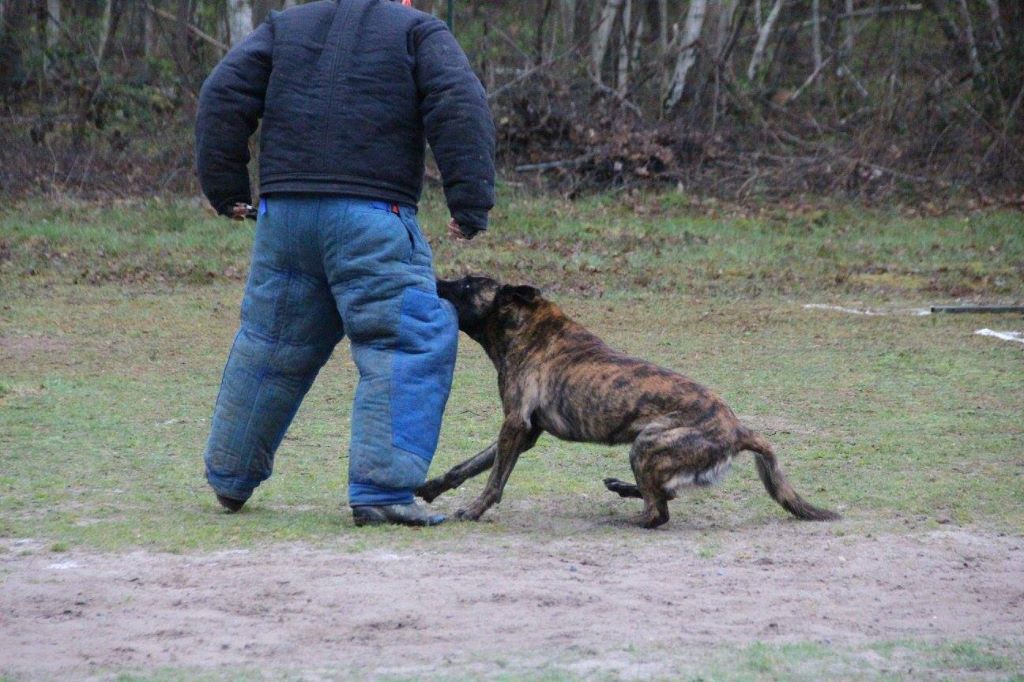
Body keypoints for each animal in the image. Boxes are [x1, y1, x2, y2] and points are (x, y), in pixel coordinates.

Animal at [415, 276, 839, 524]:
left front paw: (473, 510)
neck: (527, 329)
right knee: (665, 493)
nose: (435, 277)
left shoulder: (515, 426)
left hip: (647, 444)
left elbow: (493, 480)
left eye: (466, 285)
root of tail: (738, 429)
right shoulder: (526, 432)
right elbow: (466, 467)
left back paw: (625, 515)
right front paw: (429, 489)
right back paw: (622, 488)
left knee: (658, 512)